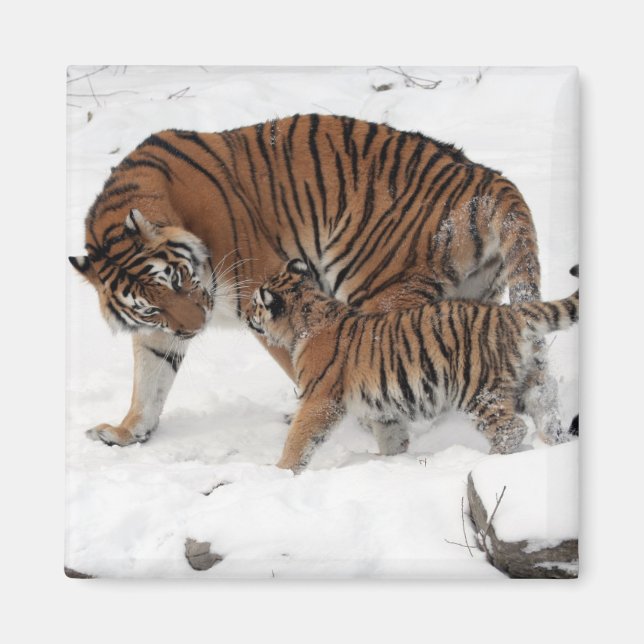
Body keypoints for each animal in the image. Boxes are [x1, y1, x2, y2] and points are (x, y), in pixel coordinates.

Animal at [69, 113, 567, 448]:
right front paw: (126, 432)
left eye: (177, 278)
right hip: (475, 296)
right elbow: (149, 380)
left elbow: (305, 365)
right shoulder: (161, 331)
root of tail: (487, 177)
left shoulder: (261, 290)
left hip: (379, 289)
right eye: (150, 306)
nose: (195, 328)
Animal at [245, 259, 579, 473]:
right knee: (548, 416)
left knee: (512, 428)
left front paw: (279, 470)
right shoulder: (382, 405)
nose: (246, 313)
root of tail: (509, 313)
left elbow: (299, 438)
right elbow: (391, 436)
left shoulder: (319, 399)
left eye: (255, 304)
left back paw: (488, 460)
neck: (308, 315)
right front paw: (388, 459)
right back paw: (555, 446)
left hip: (478, 390)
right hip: (532, 384)